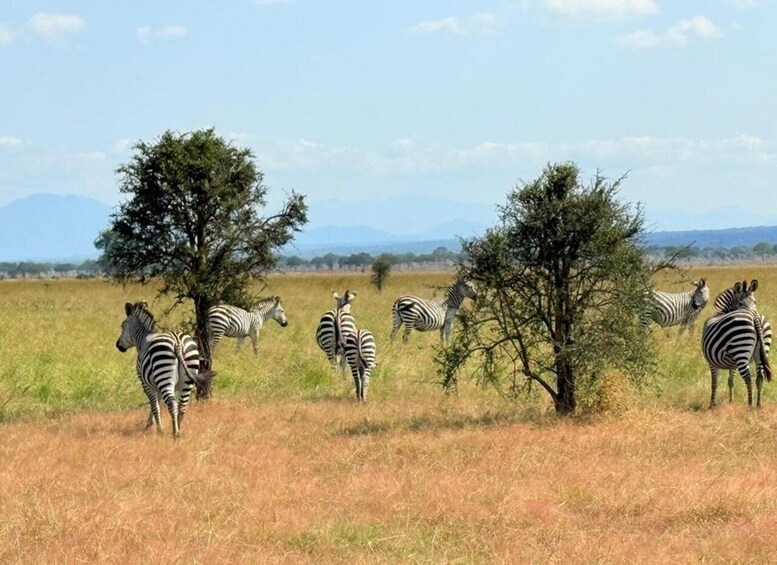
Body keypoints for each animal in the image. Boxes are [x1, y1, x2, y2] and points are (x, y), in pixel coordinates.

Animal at [116, 301, 214, 438]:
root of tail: (178, 342)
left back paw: (174, 433)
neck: (143, 338)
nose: (118, 345)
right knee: (182, 406)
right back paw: (179, 430)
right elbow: (159, 403)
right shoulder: (156, 385)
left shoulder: (145, 383)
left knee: (172, 404)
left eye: (123, 325)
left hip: (164, 374)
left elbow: (154, 405)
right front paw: (149, 424)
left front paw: (158, 430)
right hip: (187, 378)